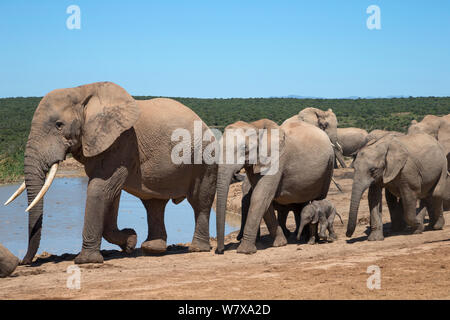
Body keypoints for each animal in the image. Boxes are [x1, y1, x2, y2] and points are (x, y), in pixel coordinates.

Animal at [4, 81, 217, 264]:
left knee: (200, 202)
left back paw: (197, 248)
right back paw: (152, 249)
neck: (82, 91)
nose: (23, 262)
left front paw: (86, 261)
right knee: (154, 204)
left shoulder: (121, 142)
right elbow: (111, 194)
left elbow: (101, 189)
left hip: (205, 158)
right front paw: (130, 241)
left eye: (59, 125)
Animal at [214, 119, 334, 254]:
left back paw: (313, 239)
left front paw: (245, 251)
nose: (220, 251)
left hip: (329, 166)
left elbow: (260, 197)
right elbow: (264, 199)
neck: (254, 125)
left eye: (245, 148)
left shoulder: (276, 159)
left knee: (319, 199)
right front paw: (280, 243)